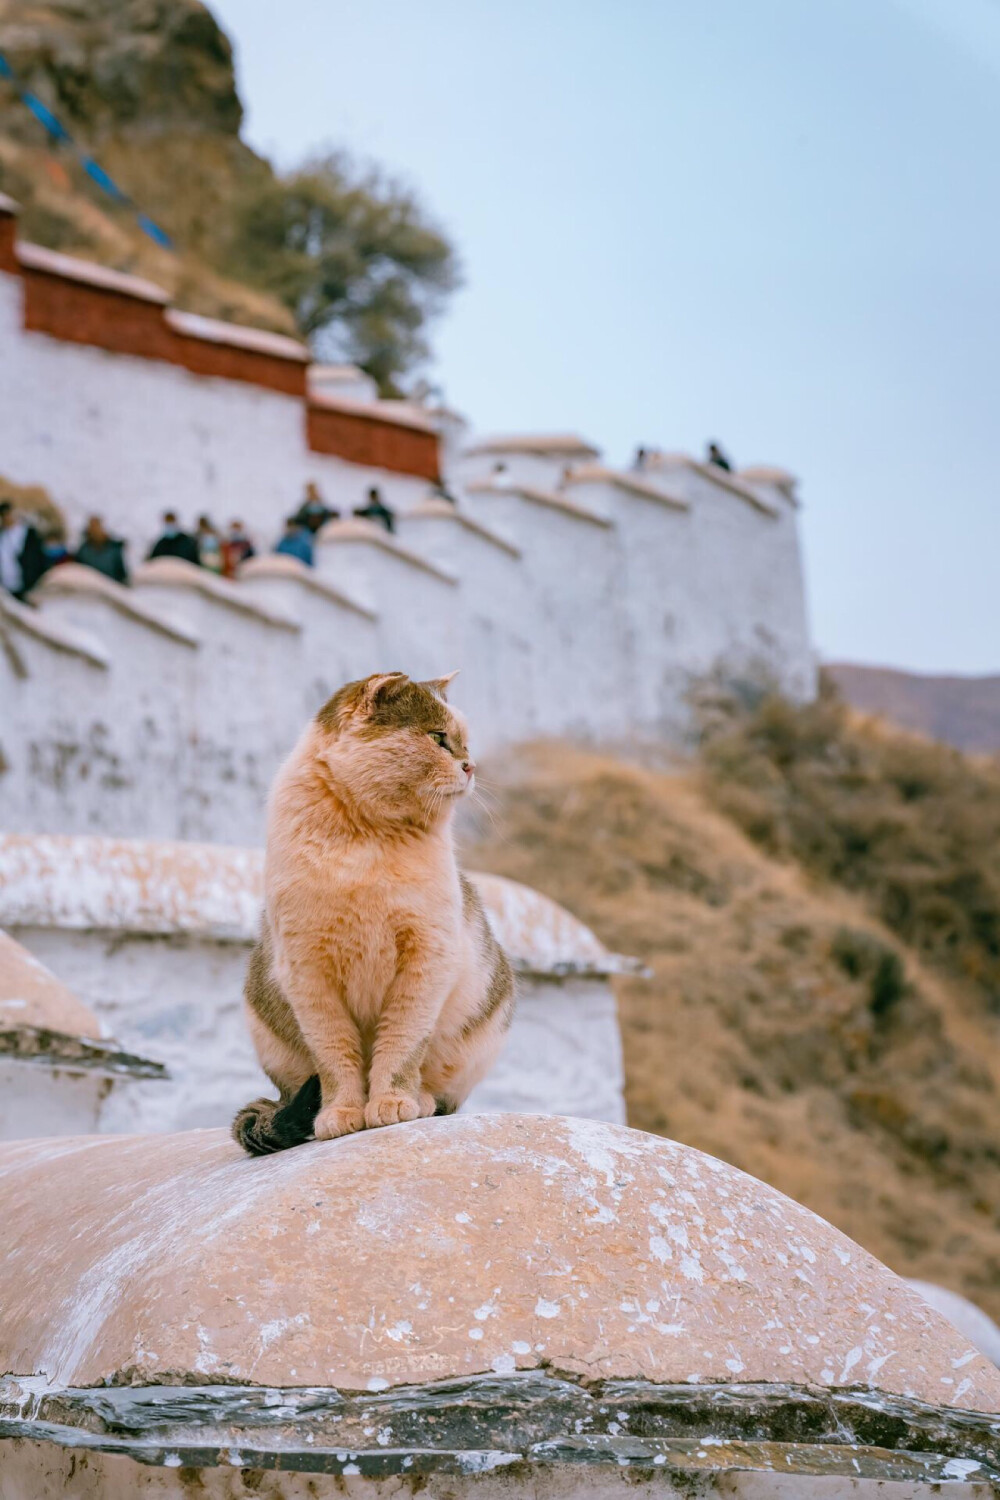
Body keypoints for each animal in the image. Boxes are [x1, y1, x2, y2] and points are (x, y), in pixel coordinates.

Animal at [233, 675, 512, 1152]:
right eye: (438, 738)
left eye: (464, 743)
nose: (471, 767)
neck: (367, 839)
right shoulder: (309, 974)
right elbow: (335, 1058)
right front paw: (341, 1114)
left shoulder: (426, 960)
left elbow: (400, 1047)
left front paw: (393, 1103)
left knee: (442, 1098)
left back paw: (419, 1100)